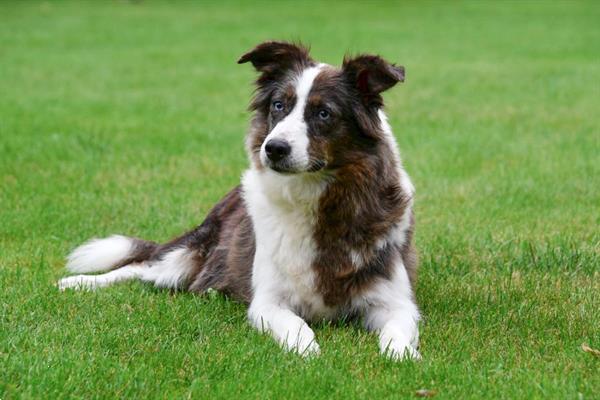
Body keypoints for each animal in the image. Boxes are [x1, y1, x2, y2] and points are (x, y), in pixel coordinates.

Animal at [58, 40, 420, 360]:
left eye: (323, 113)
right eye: (278, 106)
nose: (273, 148)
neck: (316, 201)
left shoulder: (396, 302)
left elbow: (397, 331)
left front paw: (402, 356)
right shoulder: (267, 302)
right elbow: (297, 326)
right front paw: (308, 353)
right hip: (183, 258)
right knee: (137, 267)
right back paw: (78, 283)